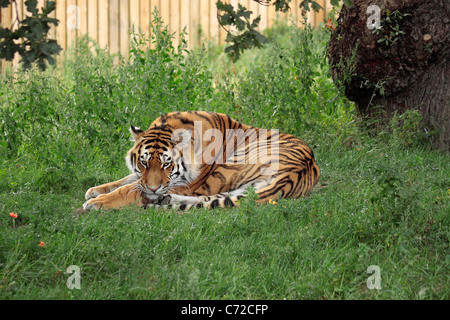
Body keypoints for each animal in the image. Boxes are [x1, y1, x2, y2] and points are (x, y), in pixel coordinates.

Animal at [81, 111, 320, 211]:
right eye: (144, 163)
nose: (154, 188)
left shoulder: (186, 182)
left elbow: (129, 189)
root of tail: (296, 173)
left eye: (167, 164)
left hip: (228, 166)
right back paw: (166, 200)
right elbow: (127, 179)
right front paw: (94, 190)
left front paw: (97, 202)